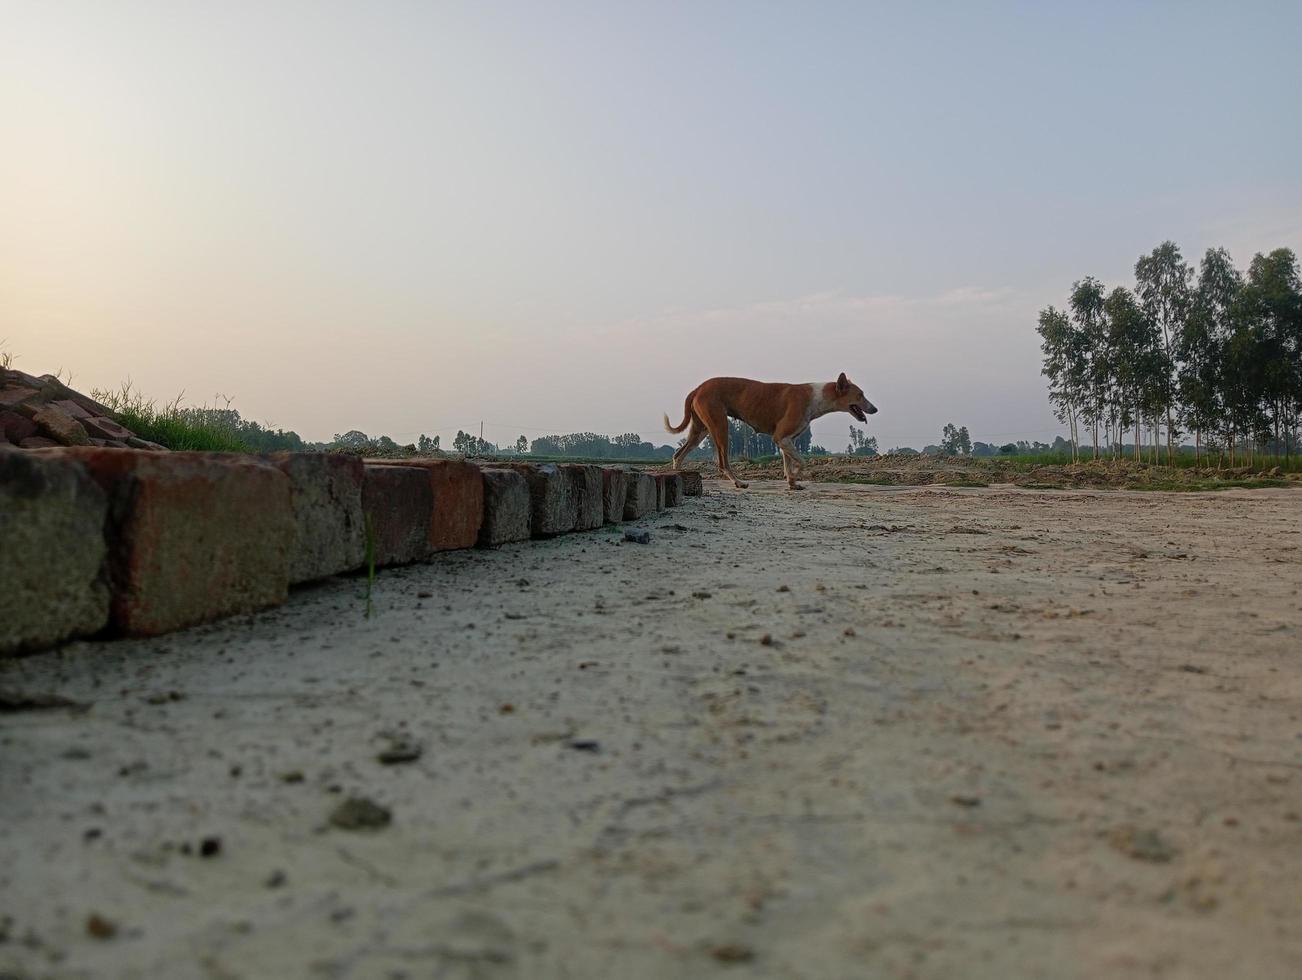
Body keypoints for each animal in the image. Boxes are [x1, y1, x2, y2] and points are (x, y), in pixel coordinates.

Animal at [666, 372, 880, 489]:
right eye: (860, 395)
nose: (875, 409)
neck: (816, 397)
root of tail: (698, 388)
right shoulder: (781, 438)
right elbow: (802, 462)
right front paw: (793, 477)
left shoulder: (787, 440)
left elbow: (788, 462)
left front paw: (792, 483)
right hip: (720, 428)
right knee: (722, 463)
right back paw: (738, 482)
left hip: (700, 431)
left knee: (678, 454)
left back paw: (679, 475)